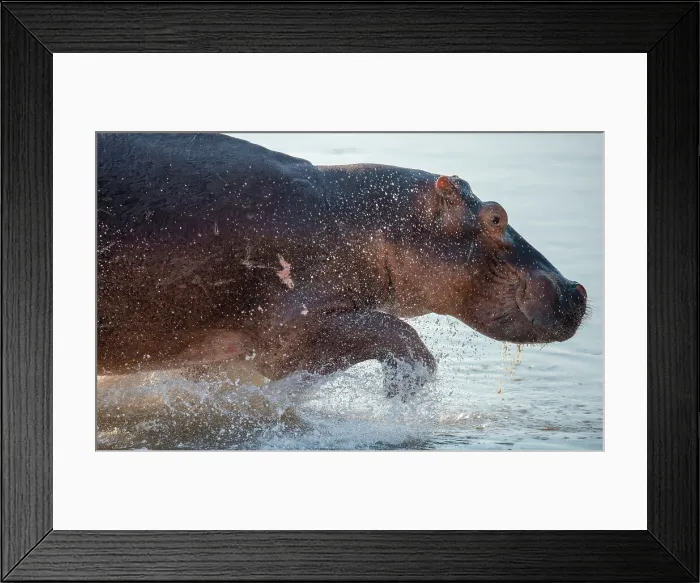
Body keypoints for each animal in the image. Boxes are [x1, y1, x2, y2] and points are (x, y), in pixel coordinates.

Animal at [97, 133, 587, 397]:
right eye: (496, 216)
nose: (576, 288)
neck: (367, 220)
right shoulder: (288, 336)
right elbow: (395, 332)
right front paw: (404, 389)